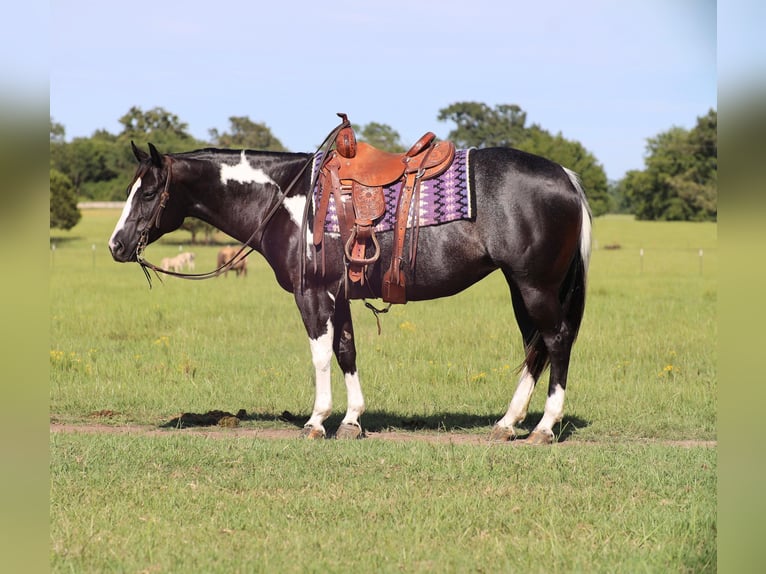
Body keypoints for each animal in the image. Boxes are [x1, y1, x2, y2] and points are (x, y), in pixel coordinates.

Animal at [108, 129, 592, 446]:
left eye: (148, 193)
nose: (116, 245)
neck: (287, 199)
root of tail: (566, 176)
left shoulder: (312, 295)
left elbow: (321, 355)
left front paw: (316, 421)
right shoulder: (337, 295)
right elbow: (346, 351)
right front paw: (352, 421)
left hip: (536, 286)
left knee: (556, 341)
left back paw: (544, 428)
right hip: (520, 287)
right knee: (535, 347)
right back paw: (508, 423)